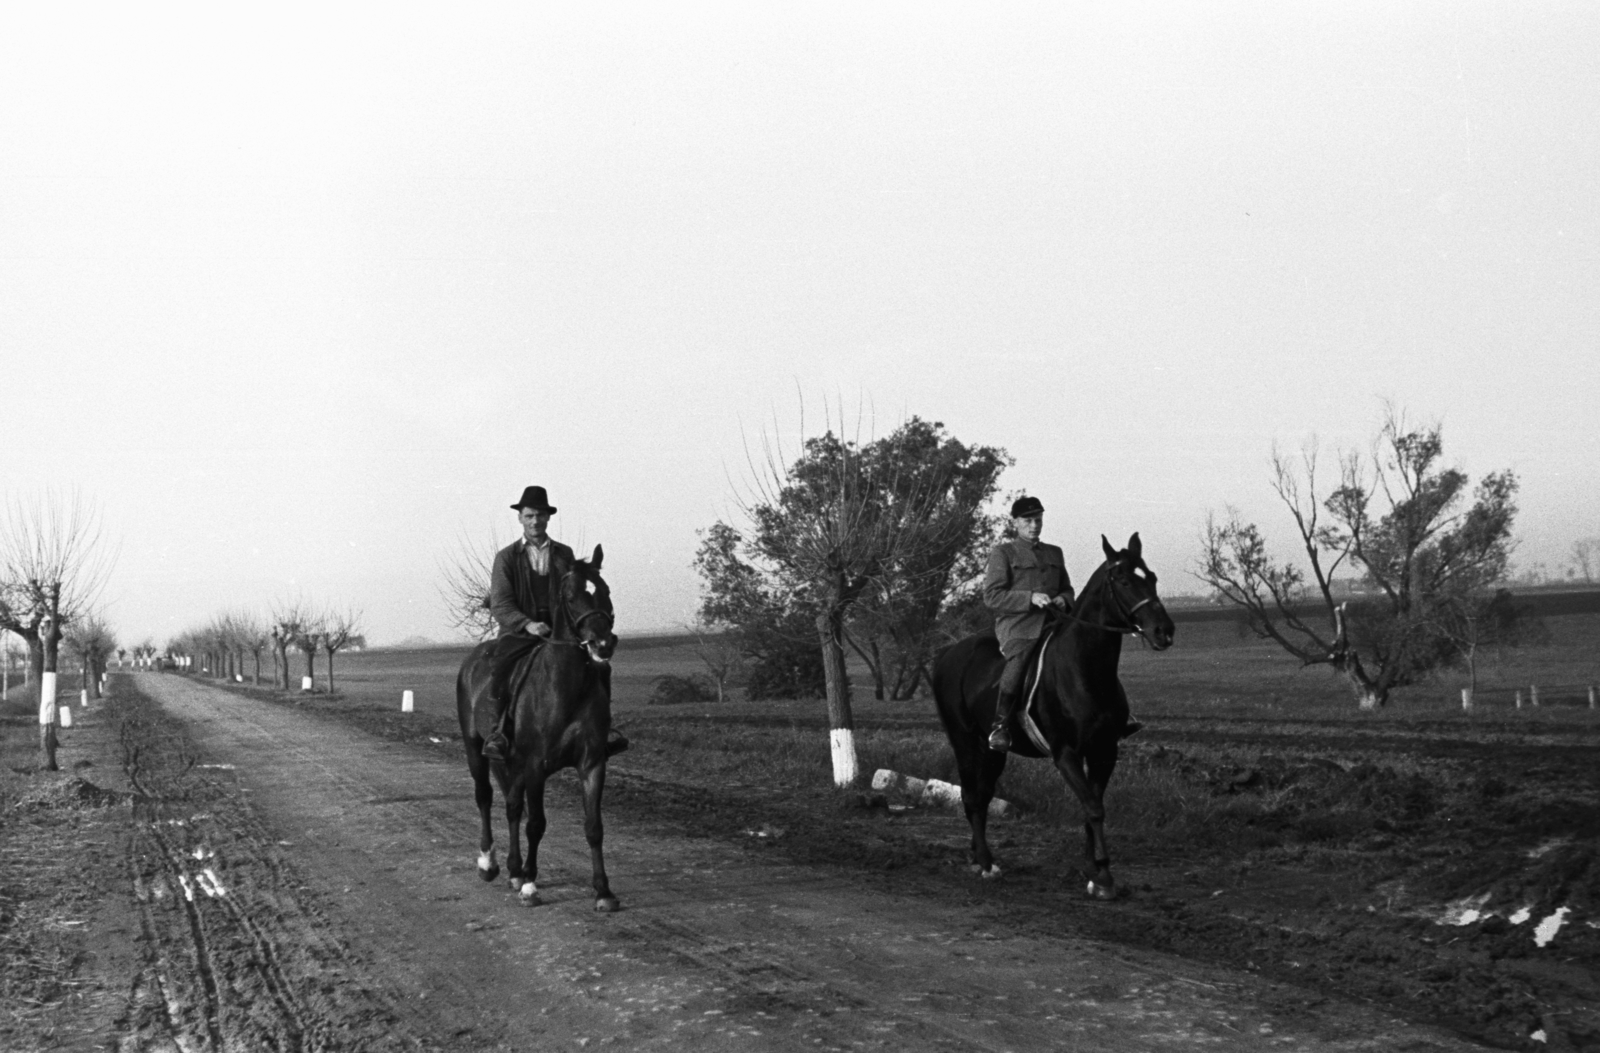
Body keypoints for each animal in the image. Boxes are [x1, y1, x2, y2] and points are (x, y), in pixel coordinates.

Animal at [460, 544, 620, 908]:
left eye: (604, 591)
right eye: (572, 596)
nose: (604, 645)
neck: (567, 686)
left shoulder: (592, 763)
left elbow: (594, 826)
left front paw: (603, 891)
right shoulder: (535, 765)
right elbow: (536, 823)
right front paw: (531, 887)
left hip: (512, 763)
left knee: (511, 806)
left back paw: (515, 870)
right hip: (475, 748)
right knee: (485, 797)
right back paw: (488, 863)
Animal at [928, 528, 1177, 896]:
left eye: (1152, 577)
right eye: (1123, 580)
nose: (1164, 631)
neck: (1085, 669)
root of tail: (948, 652)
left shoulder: (1104, 751)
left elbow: (1093, 806)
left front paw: (1092, 869)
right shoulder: (1066, 753)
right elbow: (1093, 807)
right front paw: (1103, 877)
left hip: (992, 750)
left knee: (982, 795)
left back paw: (979, 856)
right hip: (963, 740)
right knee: (971, 796)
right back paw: (986, 863)